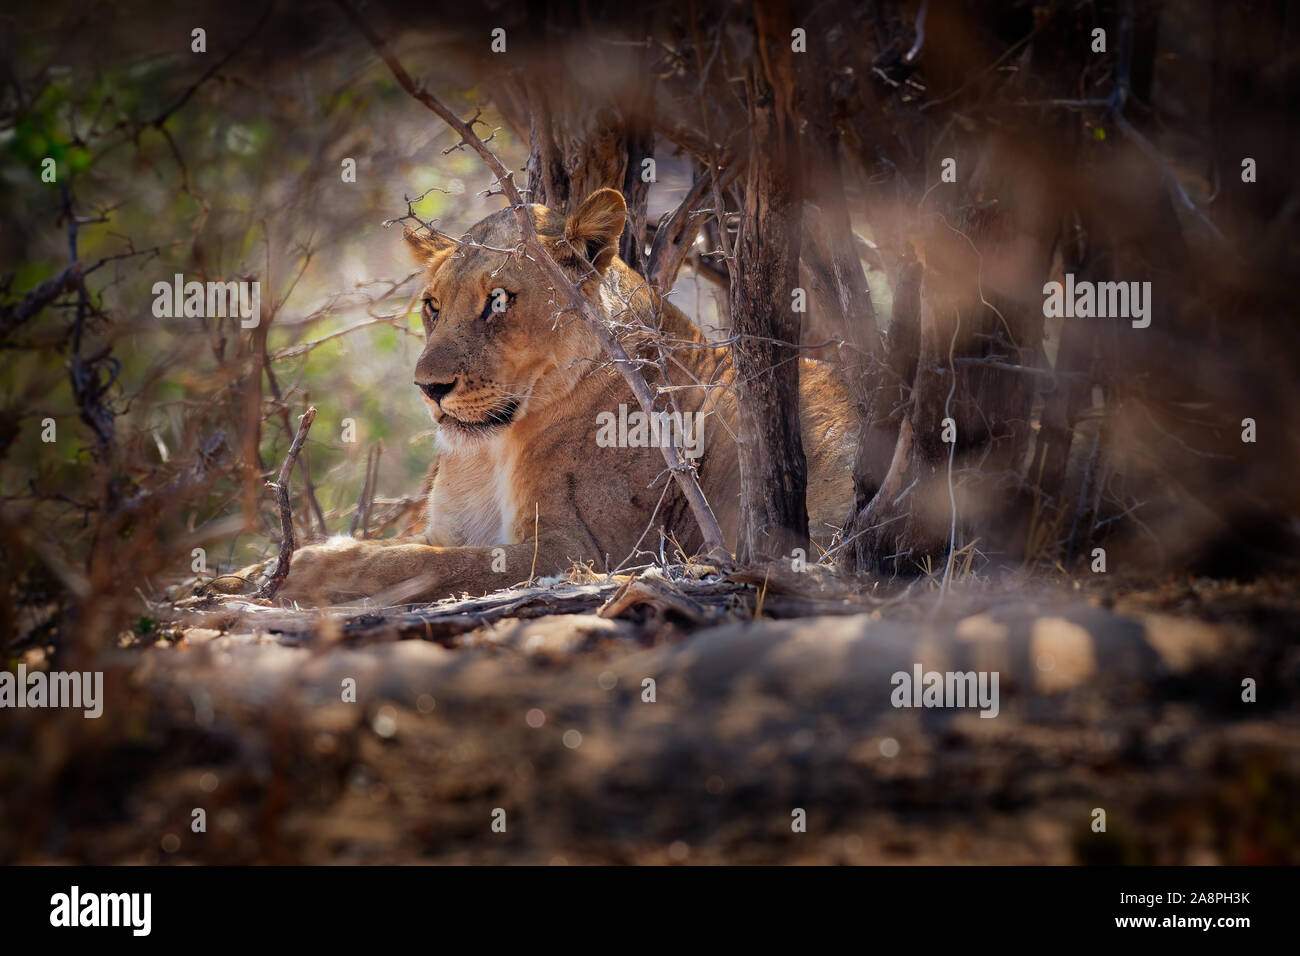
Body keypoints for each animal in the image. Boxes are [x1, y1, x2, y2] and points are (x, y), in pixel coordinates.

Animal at [246, 188, 858, 605]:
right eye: (432, 306)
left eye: (498, 301)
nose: (429, 387)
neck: (487, 455)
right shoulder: (451, 528)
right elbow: (424, 549)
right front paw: (253, 573)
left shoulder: (584, 554)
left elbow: (427, 563)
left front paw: (310, 568)